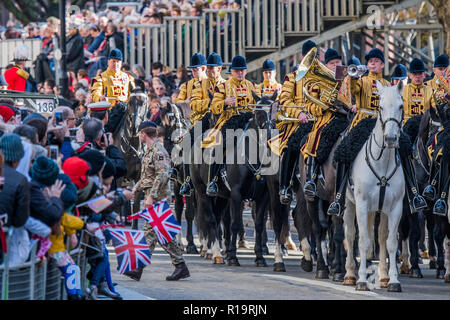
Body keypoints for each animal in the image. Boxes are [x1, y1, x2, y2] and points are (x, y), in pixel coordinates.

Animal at [342, 80, 406, 292]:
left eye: (400, 106)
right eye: (381, 107)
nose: (391, 139)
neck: (383, 163)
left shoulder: (395, 208)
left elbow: (391, 242)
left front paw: (394, 281)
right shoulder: (361, 204)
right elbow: (362, 241)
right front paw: (361, 280)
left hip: (378, 210)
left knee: (380, 236)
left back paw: (383, 277)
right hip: (349, 204)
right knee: (350, 235)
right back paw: (349, 274)